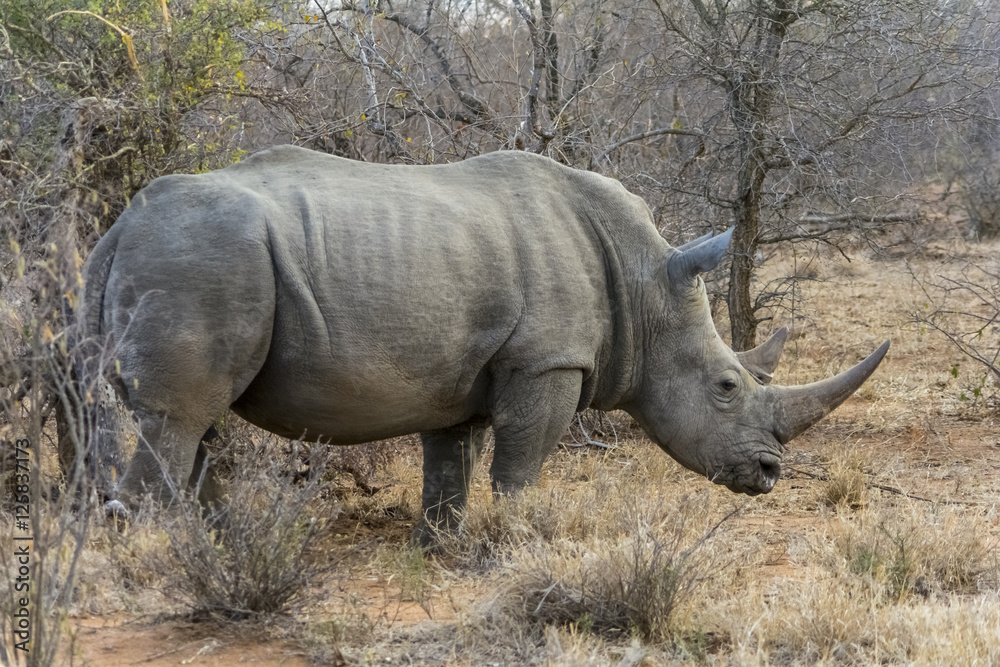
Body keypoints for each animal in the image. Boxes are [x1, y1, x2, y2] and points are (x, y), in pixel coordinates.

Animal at [82, 145, 888, 542]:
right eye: (726, 386)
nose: (770, 472)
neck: (646, 285)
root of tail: (118, 227)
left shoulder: (462, 369)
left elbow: (449, 464)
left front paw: (437, 545)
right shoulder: (546, 359)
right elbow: (521, 459)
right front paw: (517, 538)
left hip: (182, 257)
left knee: (183, 420)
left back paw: (217, 545)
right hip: (202, 259)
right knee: (179, 417)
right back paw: (158, 555)